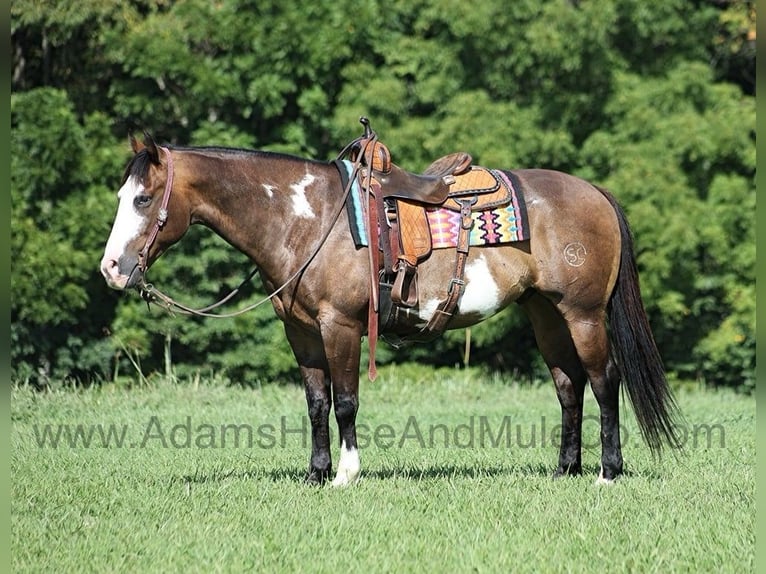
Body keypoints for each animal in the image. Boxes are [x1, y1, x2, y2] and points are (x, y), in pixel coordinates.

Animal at [100, 127, 681, 486]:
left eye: (144, 199)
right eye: (123, 197)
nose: (111, 268)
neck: (309, 220)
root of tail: (595, 193)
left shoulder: (339, 326)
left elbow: (345, 402)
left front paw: (345, 474)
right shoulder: (301, 332)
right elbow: (316, 403)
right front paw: (315, 474)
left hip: (583, 313)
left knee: (604, 381)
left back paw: (608, 472)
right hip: (545, 313)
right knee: (568, 386)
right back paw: (566, 470)